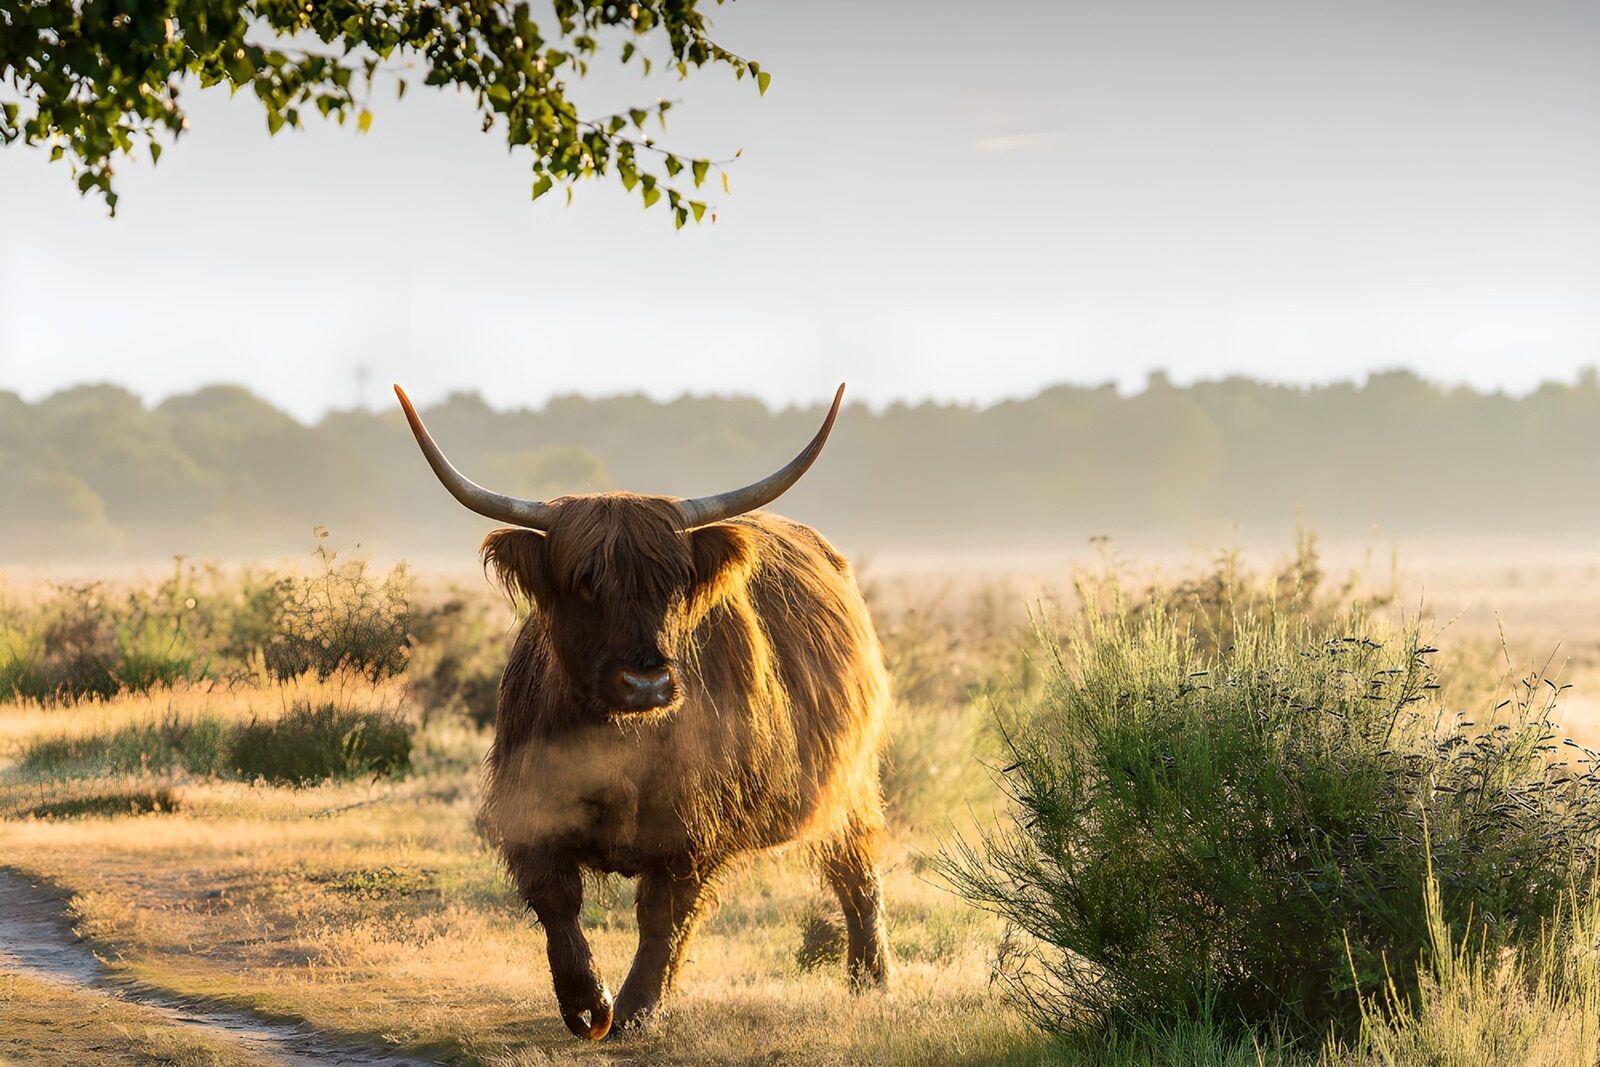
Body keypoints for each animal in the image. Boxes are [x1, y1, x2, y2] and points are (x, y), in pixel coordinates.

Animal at [394, 384, 891, 1040]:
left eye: (674, 582)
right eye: (583, 582)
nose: (646, 681)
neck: (618, 747)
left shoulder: (693, 824)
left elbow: (663, 916)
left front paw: (634, 1009)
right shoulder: (529, 806)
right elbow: (556, 902)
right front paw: (588, 1004)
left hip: (849, 781)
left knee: (856, 870)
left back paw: (871, 980)